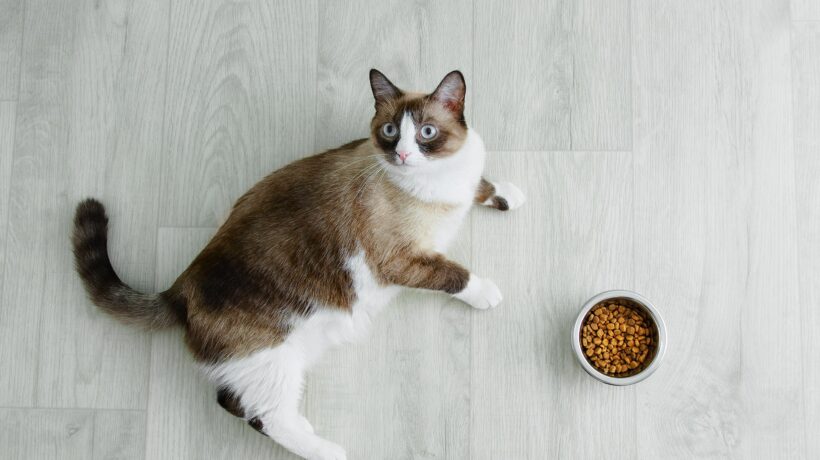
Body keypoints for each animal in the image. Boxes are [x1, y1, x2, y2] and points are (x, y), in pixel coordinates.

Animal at [75, 69, 524, 460]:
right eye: (390, 131)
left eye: (426, 132)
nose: (401, 153)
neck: (438, 180)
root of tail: (179, 288)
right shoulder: (401, 261)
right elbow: (455, 275)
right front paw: (488, 293)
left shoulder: (464, 186)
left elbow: (482, 187)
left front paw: (510, 195)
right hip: (273, 359)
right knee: (259, 413)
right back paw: (329, 452)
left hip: (298, 349)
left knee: (235, 402)